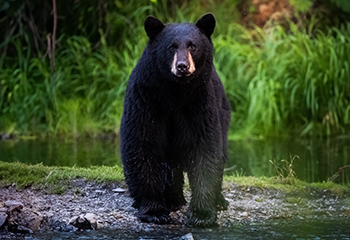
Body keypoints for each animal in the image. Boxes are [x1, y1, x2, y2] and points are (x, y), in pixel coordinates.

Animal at [119, 13, 231, 227]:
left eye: (193, 46)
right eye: (171, 47)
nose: (182, 66)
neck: (175, 91)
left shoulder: (200, 103)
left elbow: (205, 148)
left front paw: (202, 214)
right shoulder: (146, 99)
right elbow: (143, 144)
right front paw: (154, 211)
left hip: (222, 111)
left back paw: (219, 200)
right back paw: (172, 200)